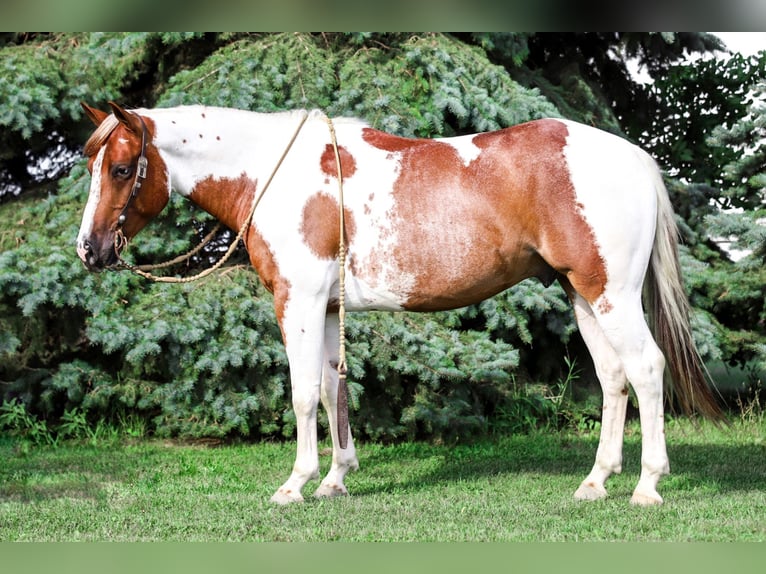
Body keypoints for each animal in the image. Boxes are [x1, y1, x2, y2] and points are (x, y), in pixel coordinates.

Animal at [75, 101, 724, 506]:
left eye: (122, 168)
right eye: (91, 164)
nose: (89, 249)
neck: (272, 175)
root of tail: (634, 156)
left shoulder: (298, 301)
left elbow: (303, 393)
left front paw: (296, 484)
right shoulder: (327, 308)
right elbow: (334, 389)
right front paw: (336, 480)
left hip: (611, 294)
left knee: (647, 370)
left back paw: (646, 486)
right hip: (583, 295)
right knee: (615, 378)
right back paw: (595, 482)